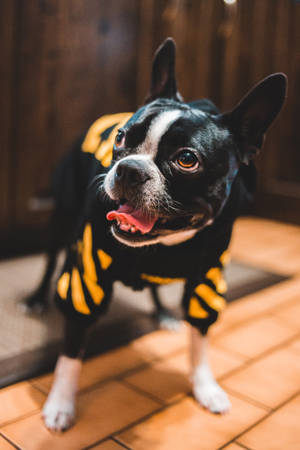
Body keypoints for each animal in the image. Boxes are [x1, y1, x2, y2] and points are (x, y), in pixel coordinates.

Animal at [27, 37, 288, 428]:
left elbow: (200, 340)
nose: (129, 169)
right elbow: (72, 352)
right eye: (121, 137)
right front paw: (60, 403)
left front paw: (205, 387)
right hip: (61, 213)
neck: (163, 247)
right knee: (48, 262)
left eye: (187, 160)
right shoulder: (86, 278)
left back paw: (164, 313)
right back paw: (37, 299)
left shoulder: (206, 281)